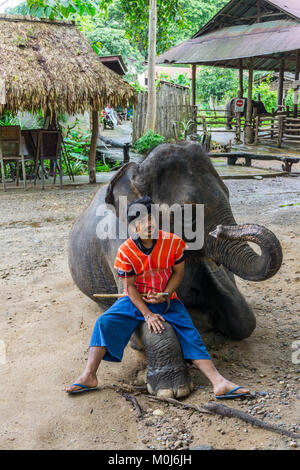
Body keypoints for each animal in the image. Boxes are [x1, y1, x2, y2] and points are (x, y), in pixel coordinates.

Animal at [69, 141, 282, 398]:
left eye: (228, 193)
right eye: (188, 213)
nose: (220, 230)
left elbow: (243, 318)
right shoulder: (117, 242)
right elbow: (136, 301)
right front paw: (171, 389)